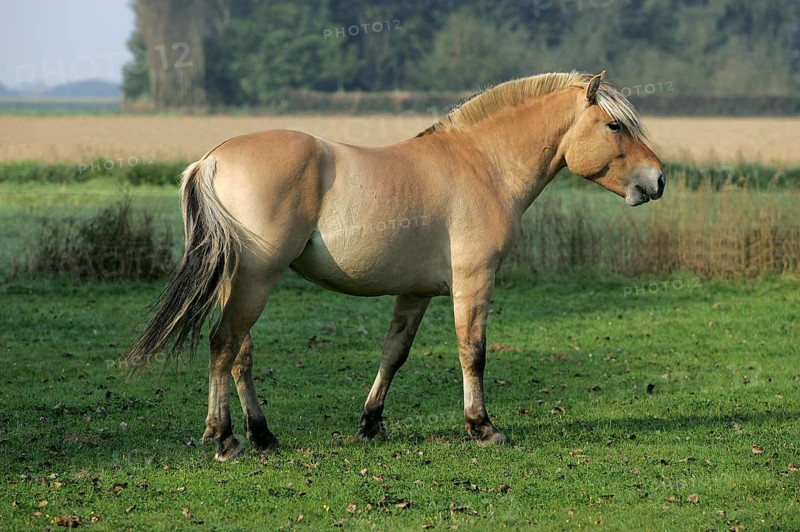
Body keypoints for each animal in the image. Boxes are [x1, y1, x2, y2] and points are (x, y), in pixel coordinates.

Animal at [123, 71, 665, 461]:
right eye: (615, 125)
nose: (658, 180)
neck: (484, 164)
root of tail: (211, 159)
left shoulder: (416, 293)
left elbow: (394, 354)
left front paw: (371, 423)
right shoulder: (474, 282)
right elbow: (473, 352)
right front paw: (482, 427)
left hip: (240, 282)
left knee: (240, 354)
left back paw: (263, 435)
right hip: (256, 280)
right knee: (222, 345)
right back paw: (225, 438)